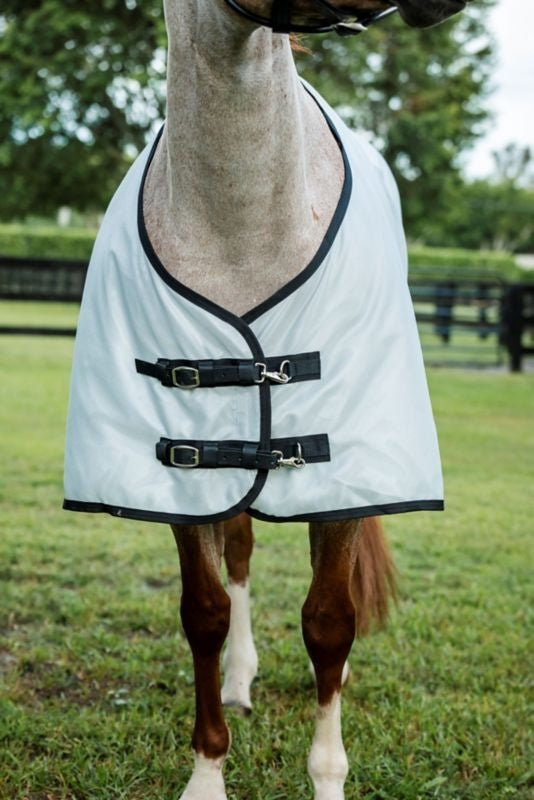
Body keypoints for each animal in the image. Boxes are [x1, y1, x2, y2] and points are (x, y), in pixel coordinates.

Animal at [63, 0, 469, 796]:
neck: (239, 232)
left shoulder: (342, 472)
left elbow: (329, 620)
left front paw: (328, 777)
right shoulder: (183, 468)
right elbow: (205, 612)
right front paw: (207, 773)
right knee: (243, 552)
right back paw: (239, 679)